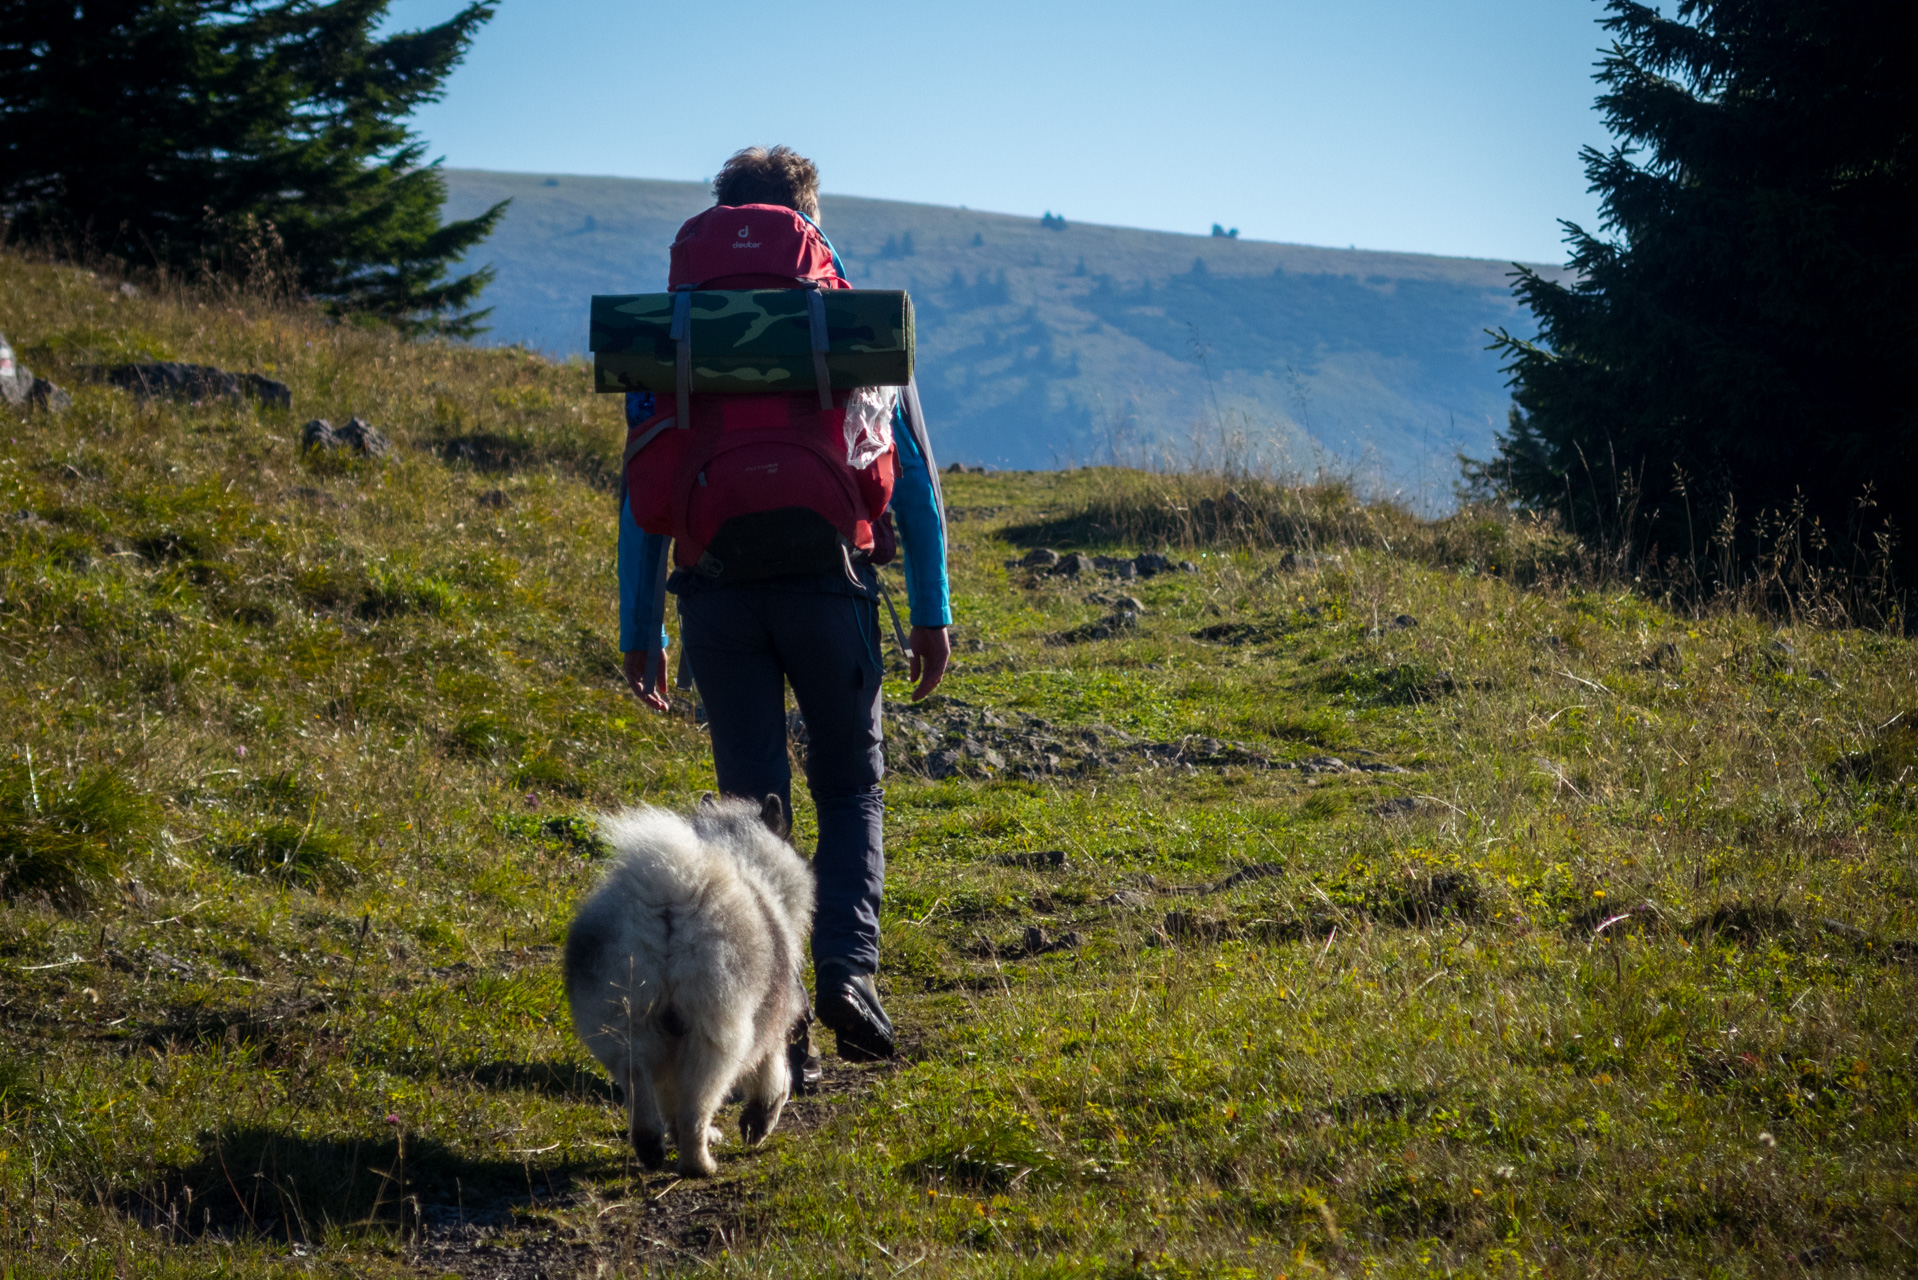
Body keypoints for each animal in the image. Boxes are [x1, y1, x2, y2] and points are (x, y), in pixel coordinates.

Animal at [563, 794, 813, 1174]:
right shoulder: (771, 1021)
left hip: (626, 1023)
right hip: (714, 1034)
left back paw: (651, 1147)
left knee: (639, 1082)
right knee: (696, 1105)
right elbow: (776, 1076)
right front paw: (758, 1123)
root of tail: (671, 894)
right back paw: (700, 1164)